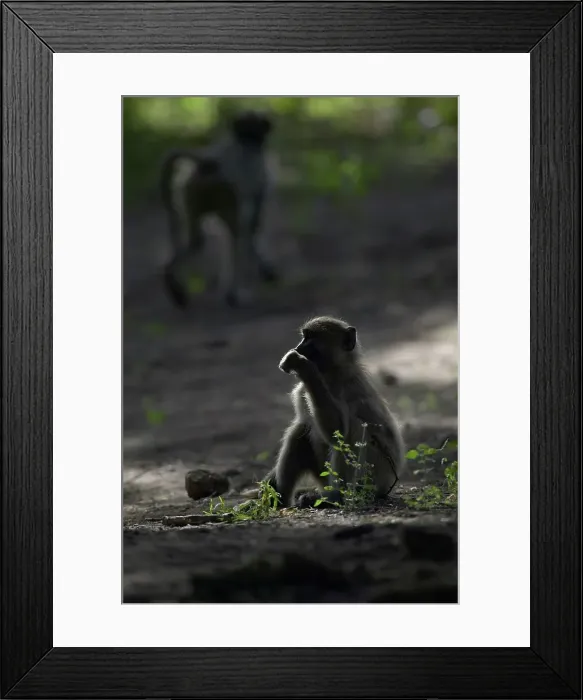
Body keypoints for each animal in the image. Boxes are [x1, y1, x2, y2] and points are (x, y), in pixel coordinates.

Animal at [159, 109, 278, 309]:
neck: (246, 141)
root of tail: (210, 163)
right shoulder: (260, 178)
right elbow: (253, 226)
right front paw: (266, 270)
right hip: (226, 193)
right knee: (238, 233)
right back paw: (232, 294)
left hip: (196, 193)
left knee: (197, 241)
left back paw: (173, 285)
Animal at [263, 316, 406, 508]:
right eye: (304, 336)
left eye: (310, 338)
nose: (298, 348)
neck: (331, 373)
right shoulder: (302, 392)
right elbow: (306, 424)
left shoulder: (347, 390)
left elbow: (337, 430)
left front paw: (303, 367)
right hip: (324, 477)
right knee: (301, 429)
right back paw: (281, 500)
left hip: (377, 479)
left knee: (352, 431)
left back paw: (336, 498)